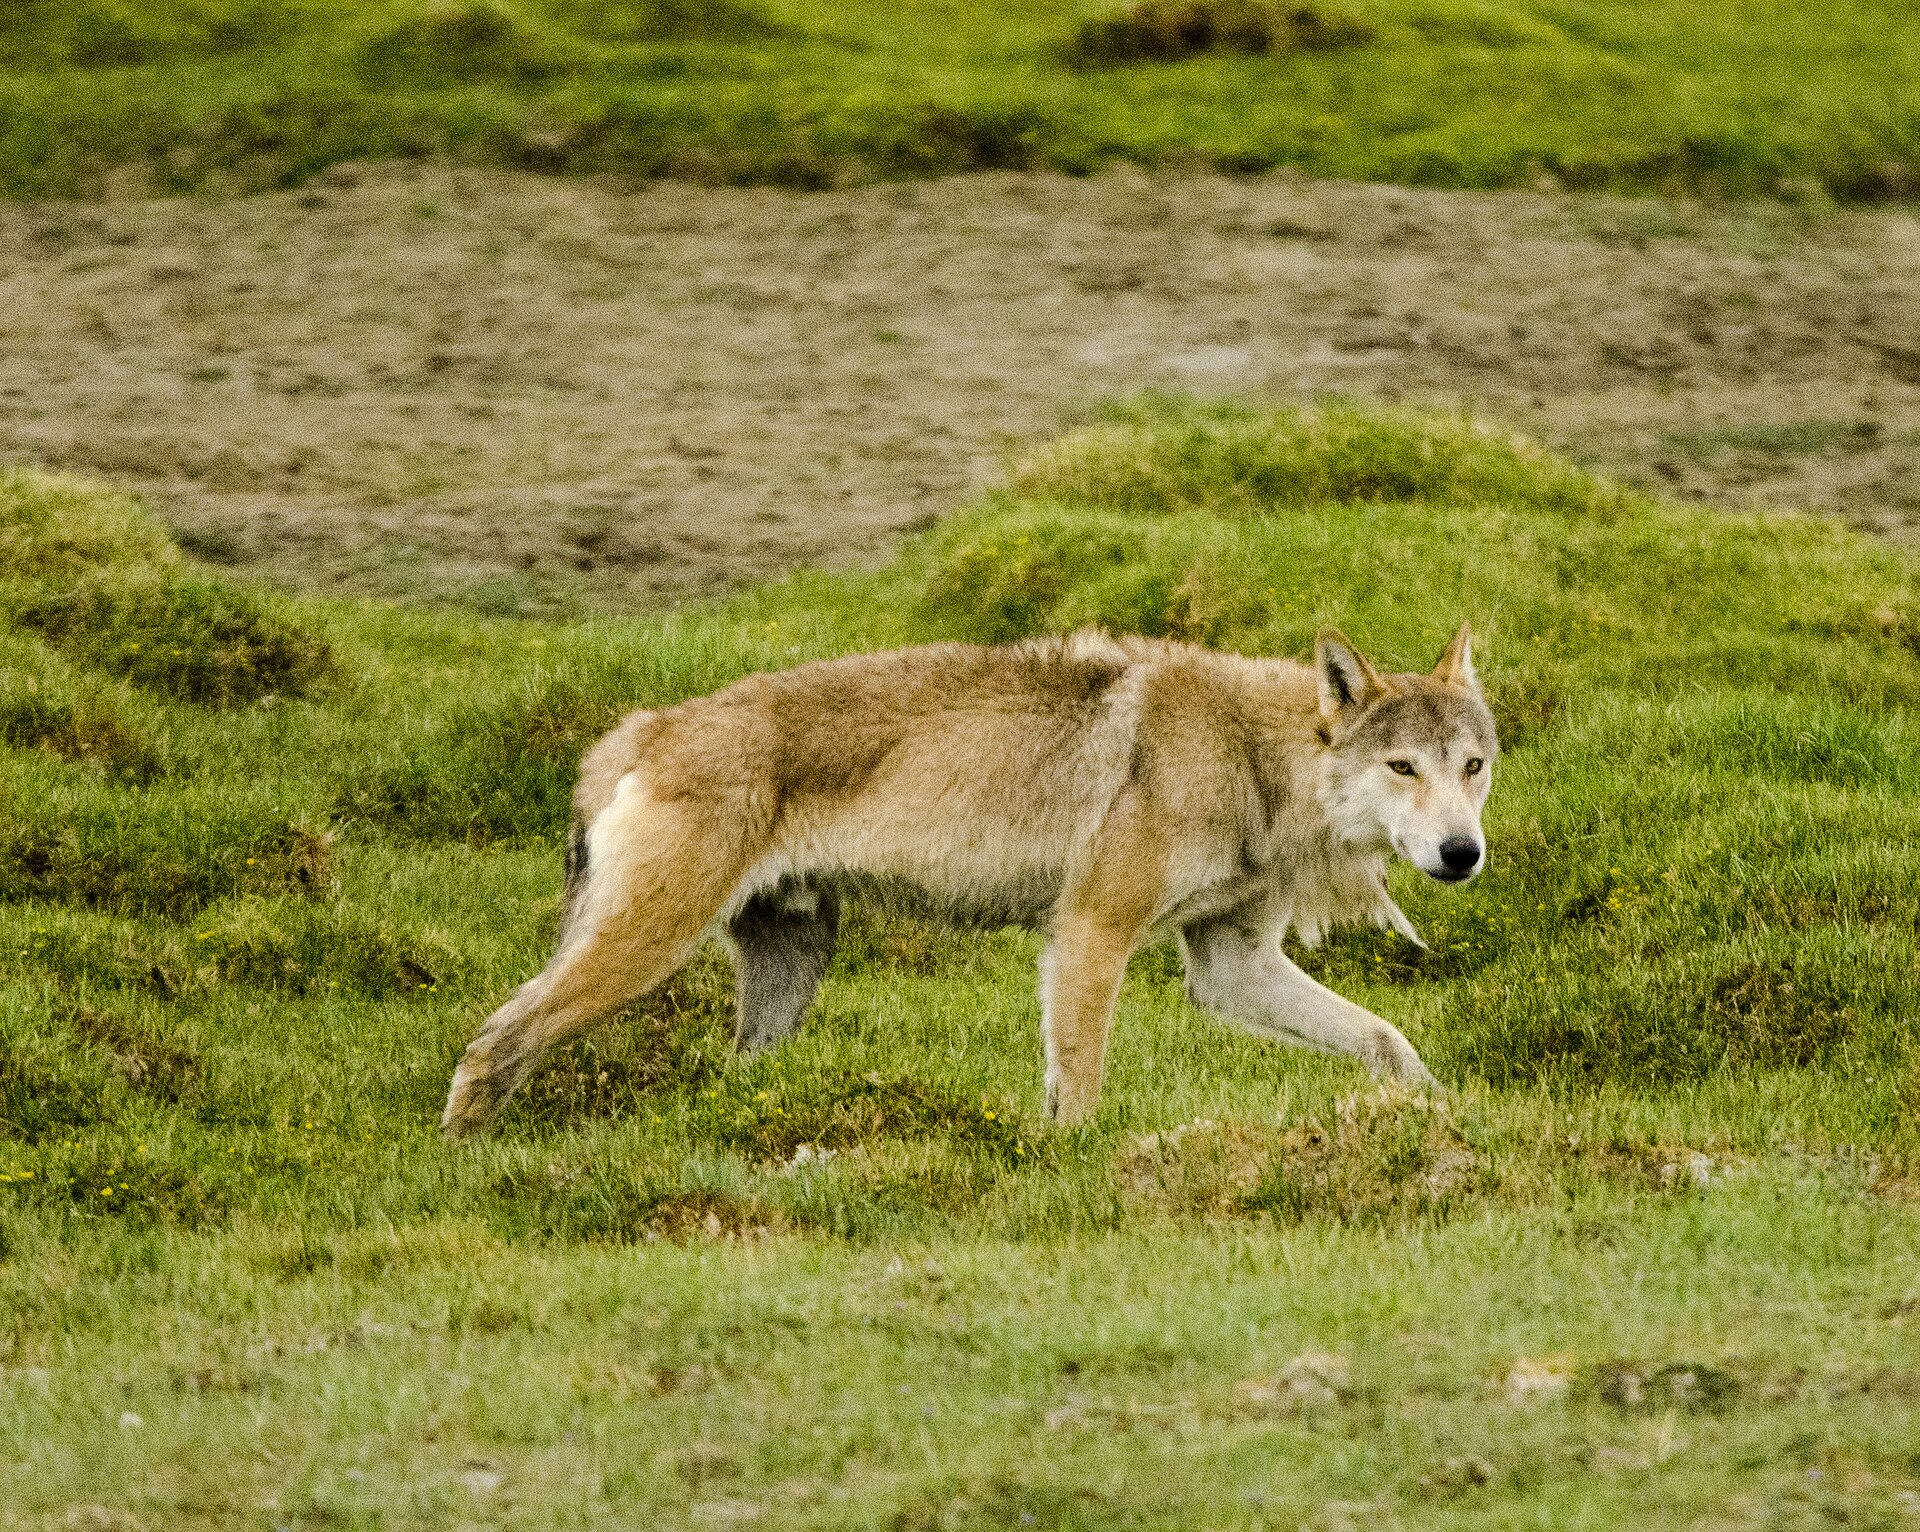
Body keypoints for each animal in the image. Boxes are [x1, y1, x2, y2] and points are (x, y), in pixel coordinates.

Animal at [440, 624, 1496, 1136]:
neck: (1252, 753)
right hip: (642, 954)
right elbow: (1079, 1089)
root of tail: (640, 728)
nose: (1462, 854)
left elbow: (1391, 1043)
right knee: (493, 1043)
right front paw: (1072, 1170)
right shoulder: (1090, 934)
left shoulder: (1229, 967)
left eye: (1473, 767)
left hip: (786, 981)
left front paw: (1439, 1119)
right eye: (1404, 768)